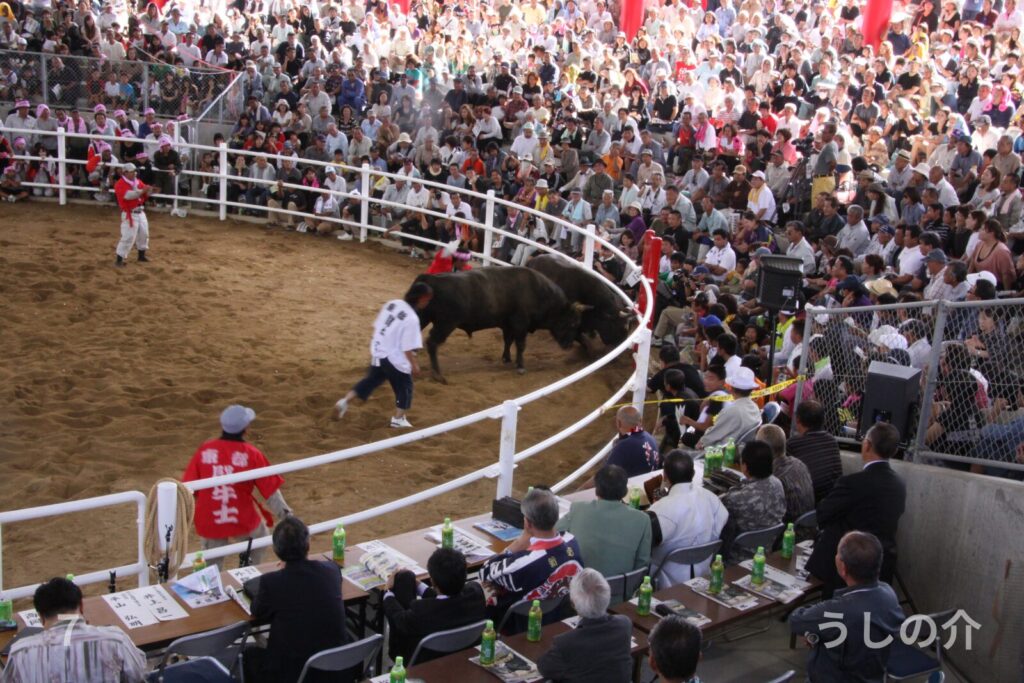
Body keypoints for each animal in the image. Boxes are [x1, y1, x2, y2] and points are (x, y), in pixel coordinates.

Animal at [412, 267, 586, 383]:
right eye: (572, 323)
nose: (569, 345)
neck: (538, 292)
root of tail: (430, 279)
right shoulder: (520, 324)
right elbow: (520, 344)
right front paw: (520, 366)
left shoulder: (508, 325)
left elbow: (508, 341)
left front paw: (506, 358)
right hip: (445, 324)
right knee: (432, 343)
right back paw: (437, 374)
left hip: (422, 317)